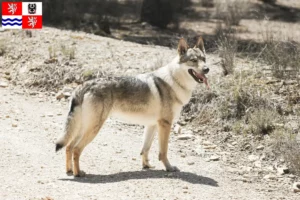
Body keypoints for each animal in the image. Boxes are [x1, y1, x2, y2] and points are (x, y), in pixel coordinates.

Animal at [55, 36, 209, 177]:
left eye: (204, 59)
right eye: (194, 60)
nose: (207, 69)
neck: (175, 81)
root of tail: (84, 85)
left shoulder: (152, 125)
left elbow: (145, 149)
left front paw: (146, 166)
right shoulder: (165, 124)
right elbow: (163, 152)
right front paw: (169, 168)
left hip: (83, 127)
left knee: (68, 147)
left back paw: (69, 171)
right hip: (93, 128)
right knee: (76, 149)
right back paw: (78, 173)